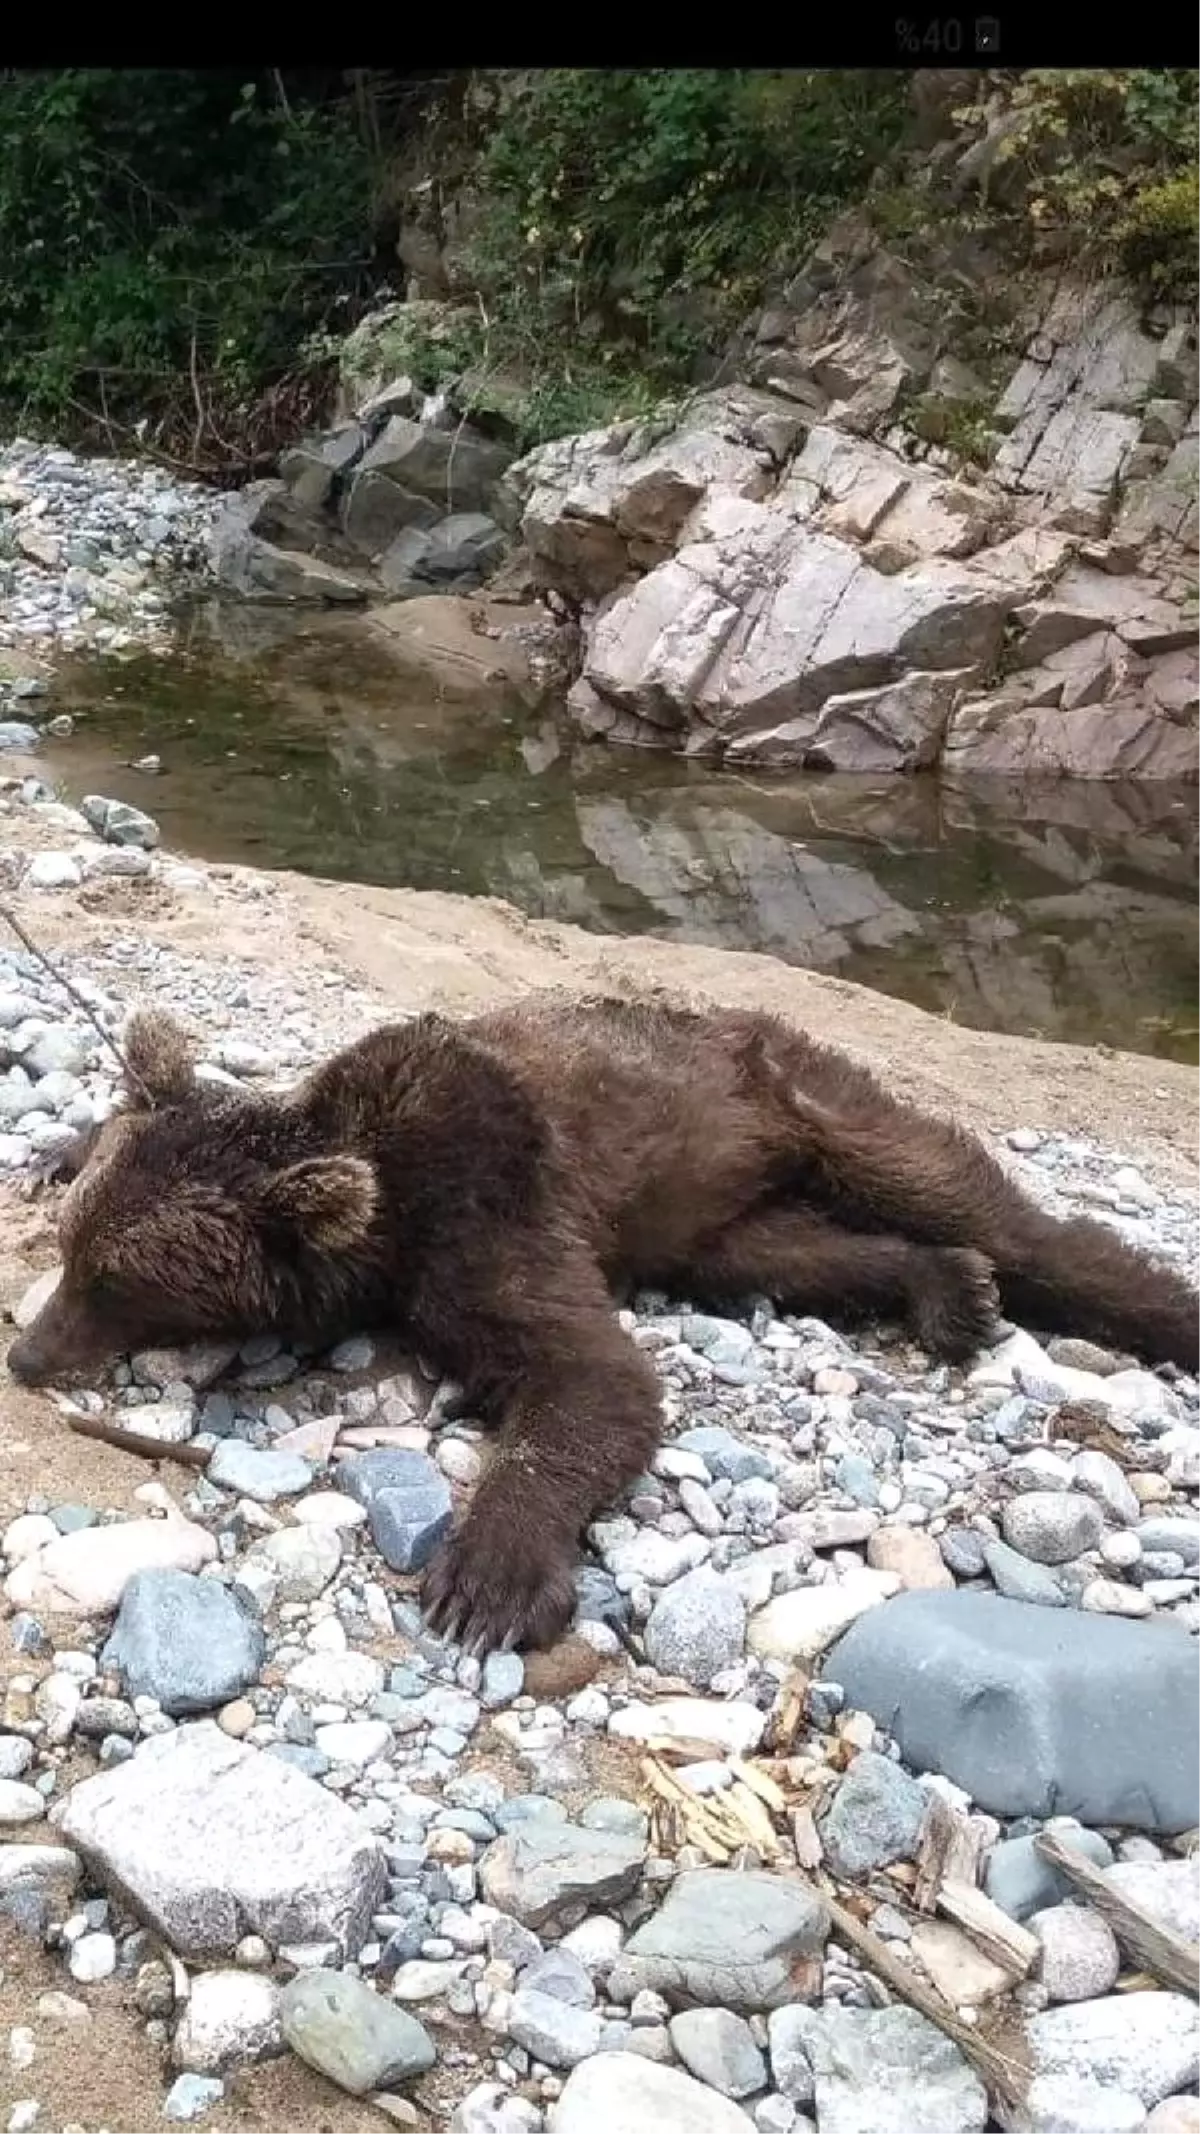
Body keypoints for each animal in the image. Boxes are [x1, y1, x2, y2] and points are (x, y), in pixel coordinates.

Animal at [9, 990, 1195, 1655]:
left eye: (115, 1283)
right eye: (73, 1254)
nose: (26, 1352)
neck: (383, 1207)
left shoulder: (491, 1218)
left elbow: (591, 1378)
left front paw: (488, 1579)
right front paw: (63, 1143)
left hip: (802, 1093)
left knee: (970, 1199)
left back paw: (1133, 1300)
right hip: (714, 1219)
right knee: (806, 1252)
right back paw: (947, 1287)